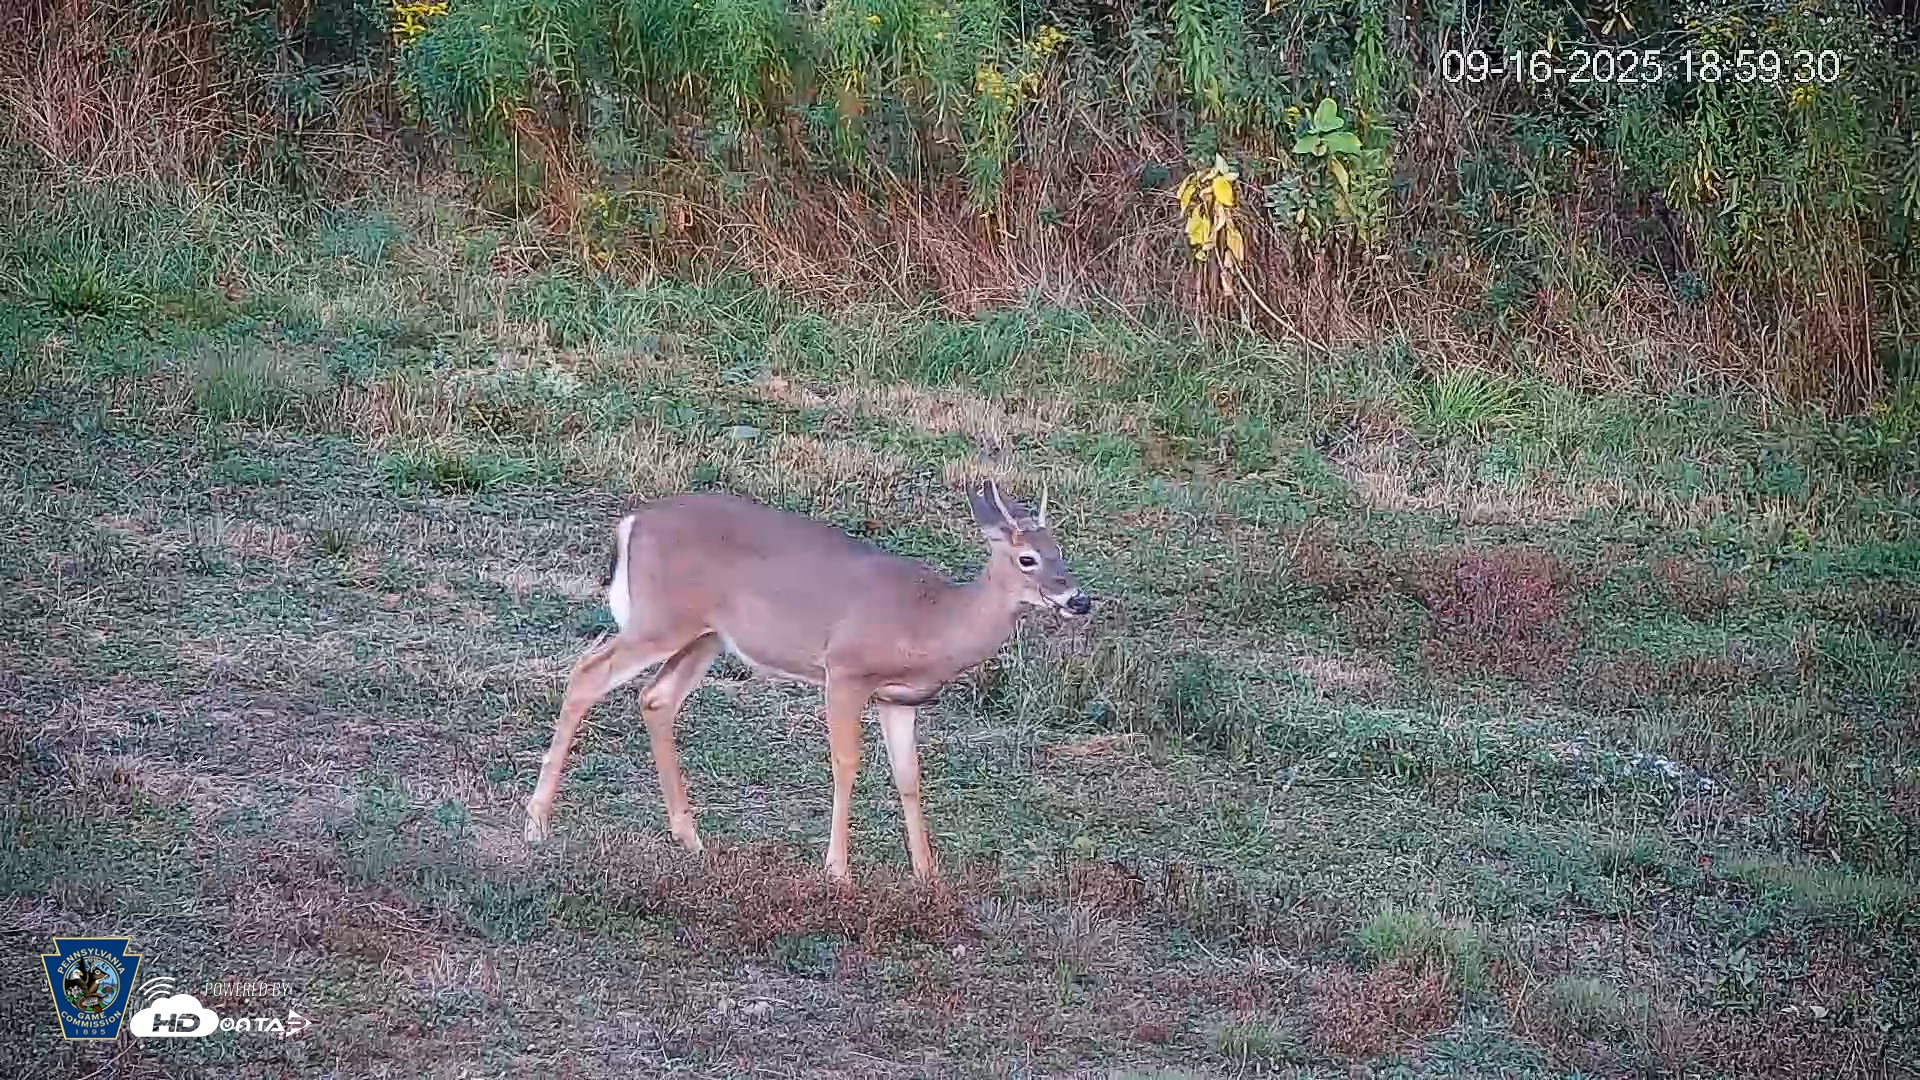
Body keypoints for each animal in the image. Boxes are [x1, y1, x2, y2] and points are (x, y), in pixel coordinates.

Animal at [522, 480, 1091, 883]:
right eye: (1027, 558)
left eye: (1061, 550)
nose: (1078, 599)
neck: (931, 622)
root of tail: (631, 523)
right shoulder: (844, 670)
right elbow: (847, 764)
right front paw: (838, 870)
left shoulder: (900, 700)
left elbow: (908, 775)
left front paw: (927, 875)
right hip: (661, 620)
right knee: (587, 673)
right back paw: (537, 824)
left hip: (704, 636)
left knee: (656, 698)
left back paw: (690, 839)